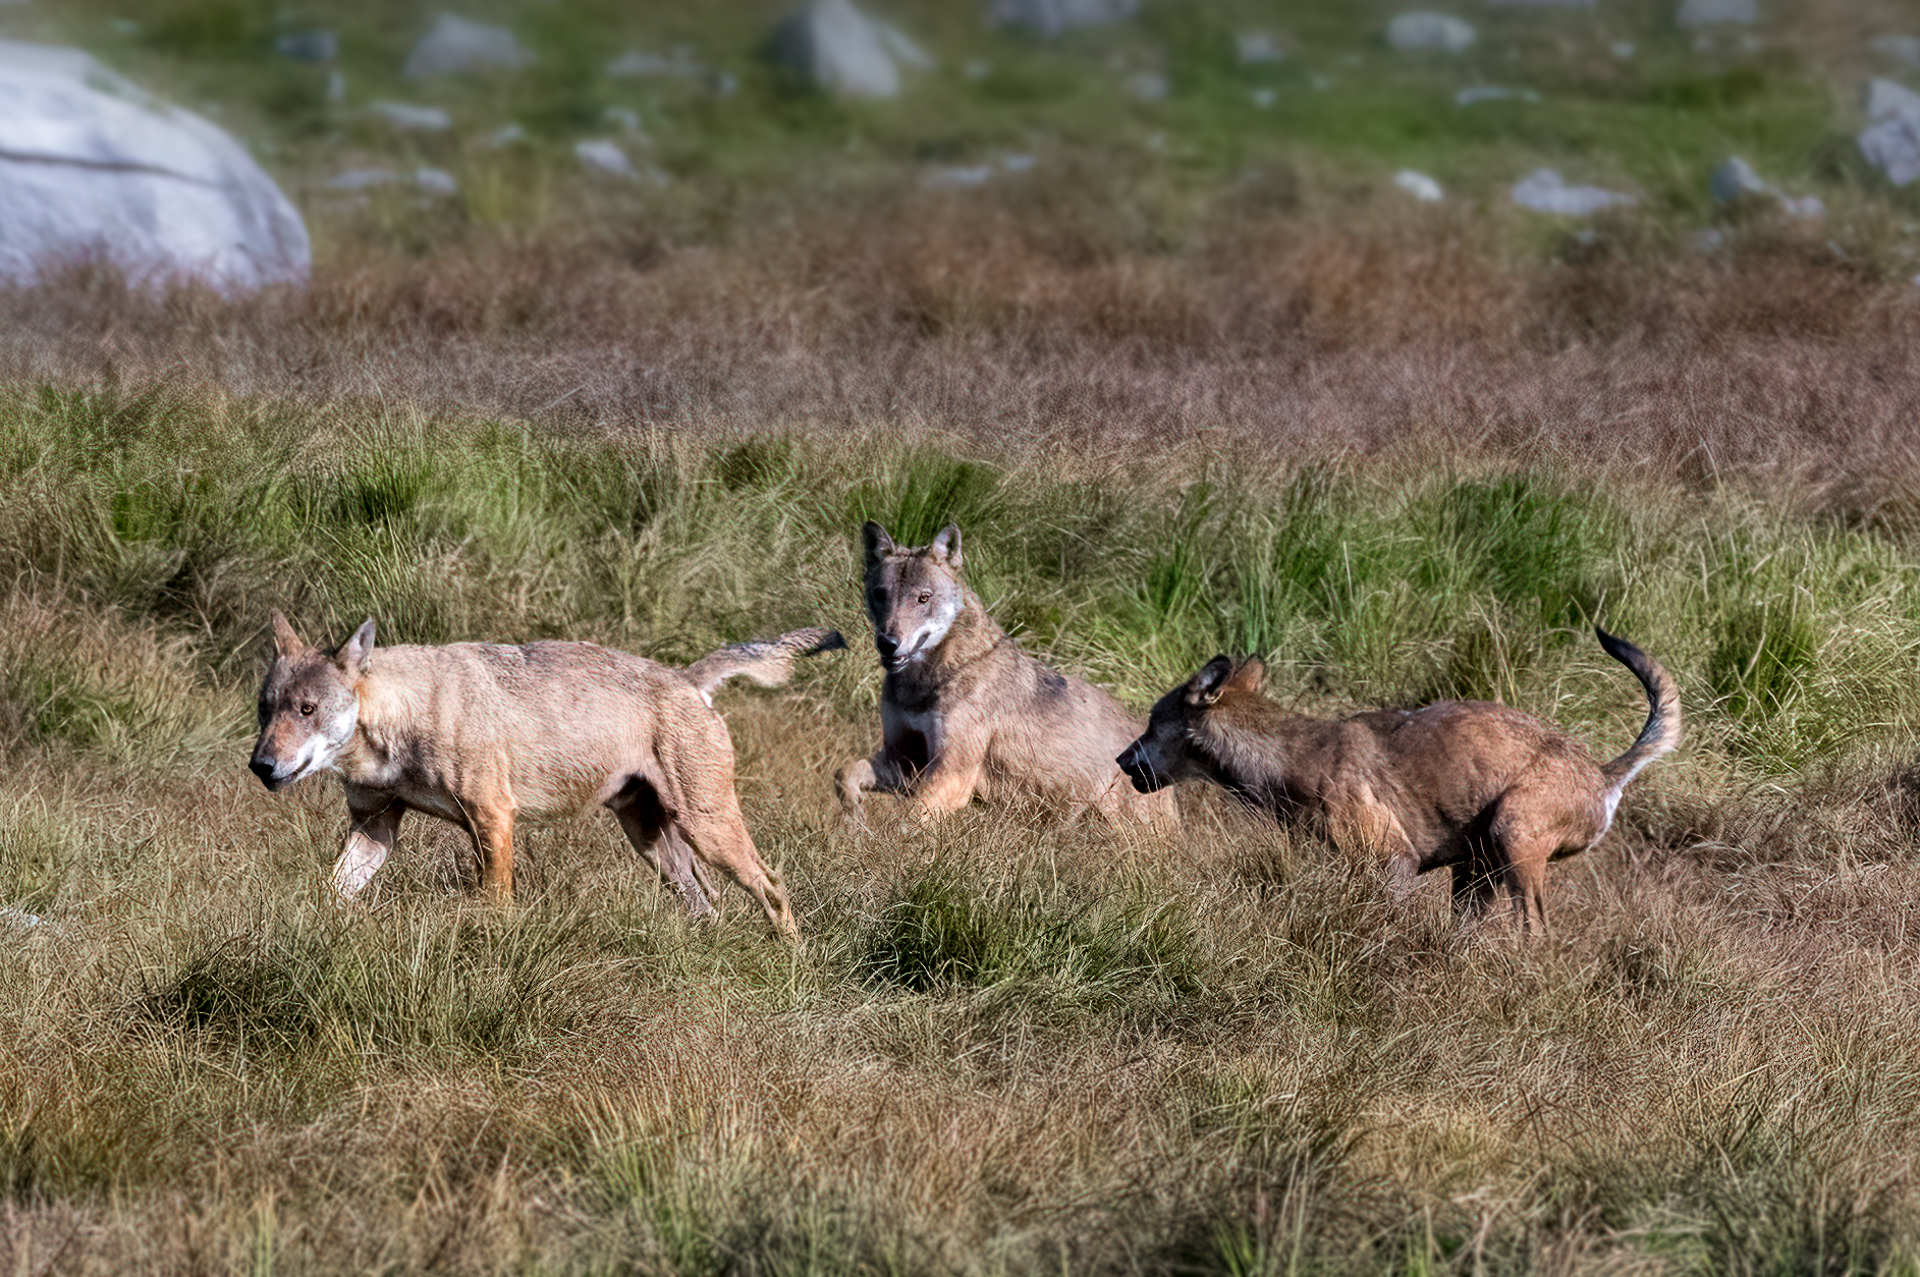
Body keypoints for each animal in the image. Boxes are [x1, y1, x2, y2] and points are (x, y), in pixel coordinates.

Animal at [249, 612, 845, 937]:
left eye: (306, 709)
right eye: (265, 709)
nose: (260, 766)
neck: (401, 715)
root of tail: (686, 676)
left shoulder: (493, 819)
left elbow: (495, 907)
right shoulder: (375, 826)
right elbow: (330, 892)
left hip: (708, 832)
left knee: (771, 885)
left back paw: (793, 963)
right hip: (655, 843)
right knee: (709, 906)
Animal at [835, 522, 1178, 828]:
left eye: (923, 598)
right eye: (880, 594)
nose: (887, 643)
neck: (923, 685)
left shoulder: (953, 774)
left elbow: (904, 825)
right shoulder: (904, 762)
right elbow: (843, 775)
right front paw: (855, 823)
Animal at [1117, 629, 1680, 932]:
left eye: (1152, 721)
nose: (1121, 761)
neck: (1283, 753)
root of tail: (1603, 773)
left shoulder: (1393, 861)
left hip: (1513, 837)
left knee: (1535, 934)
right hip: (1477, 871)